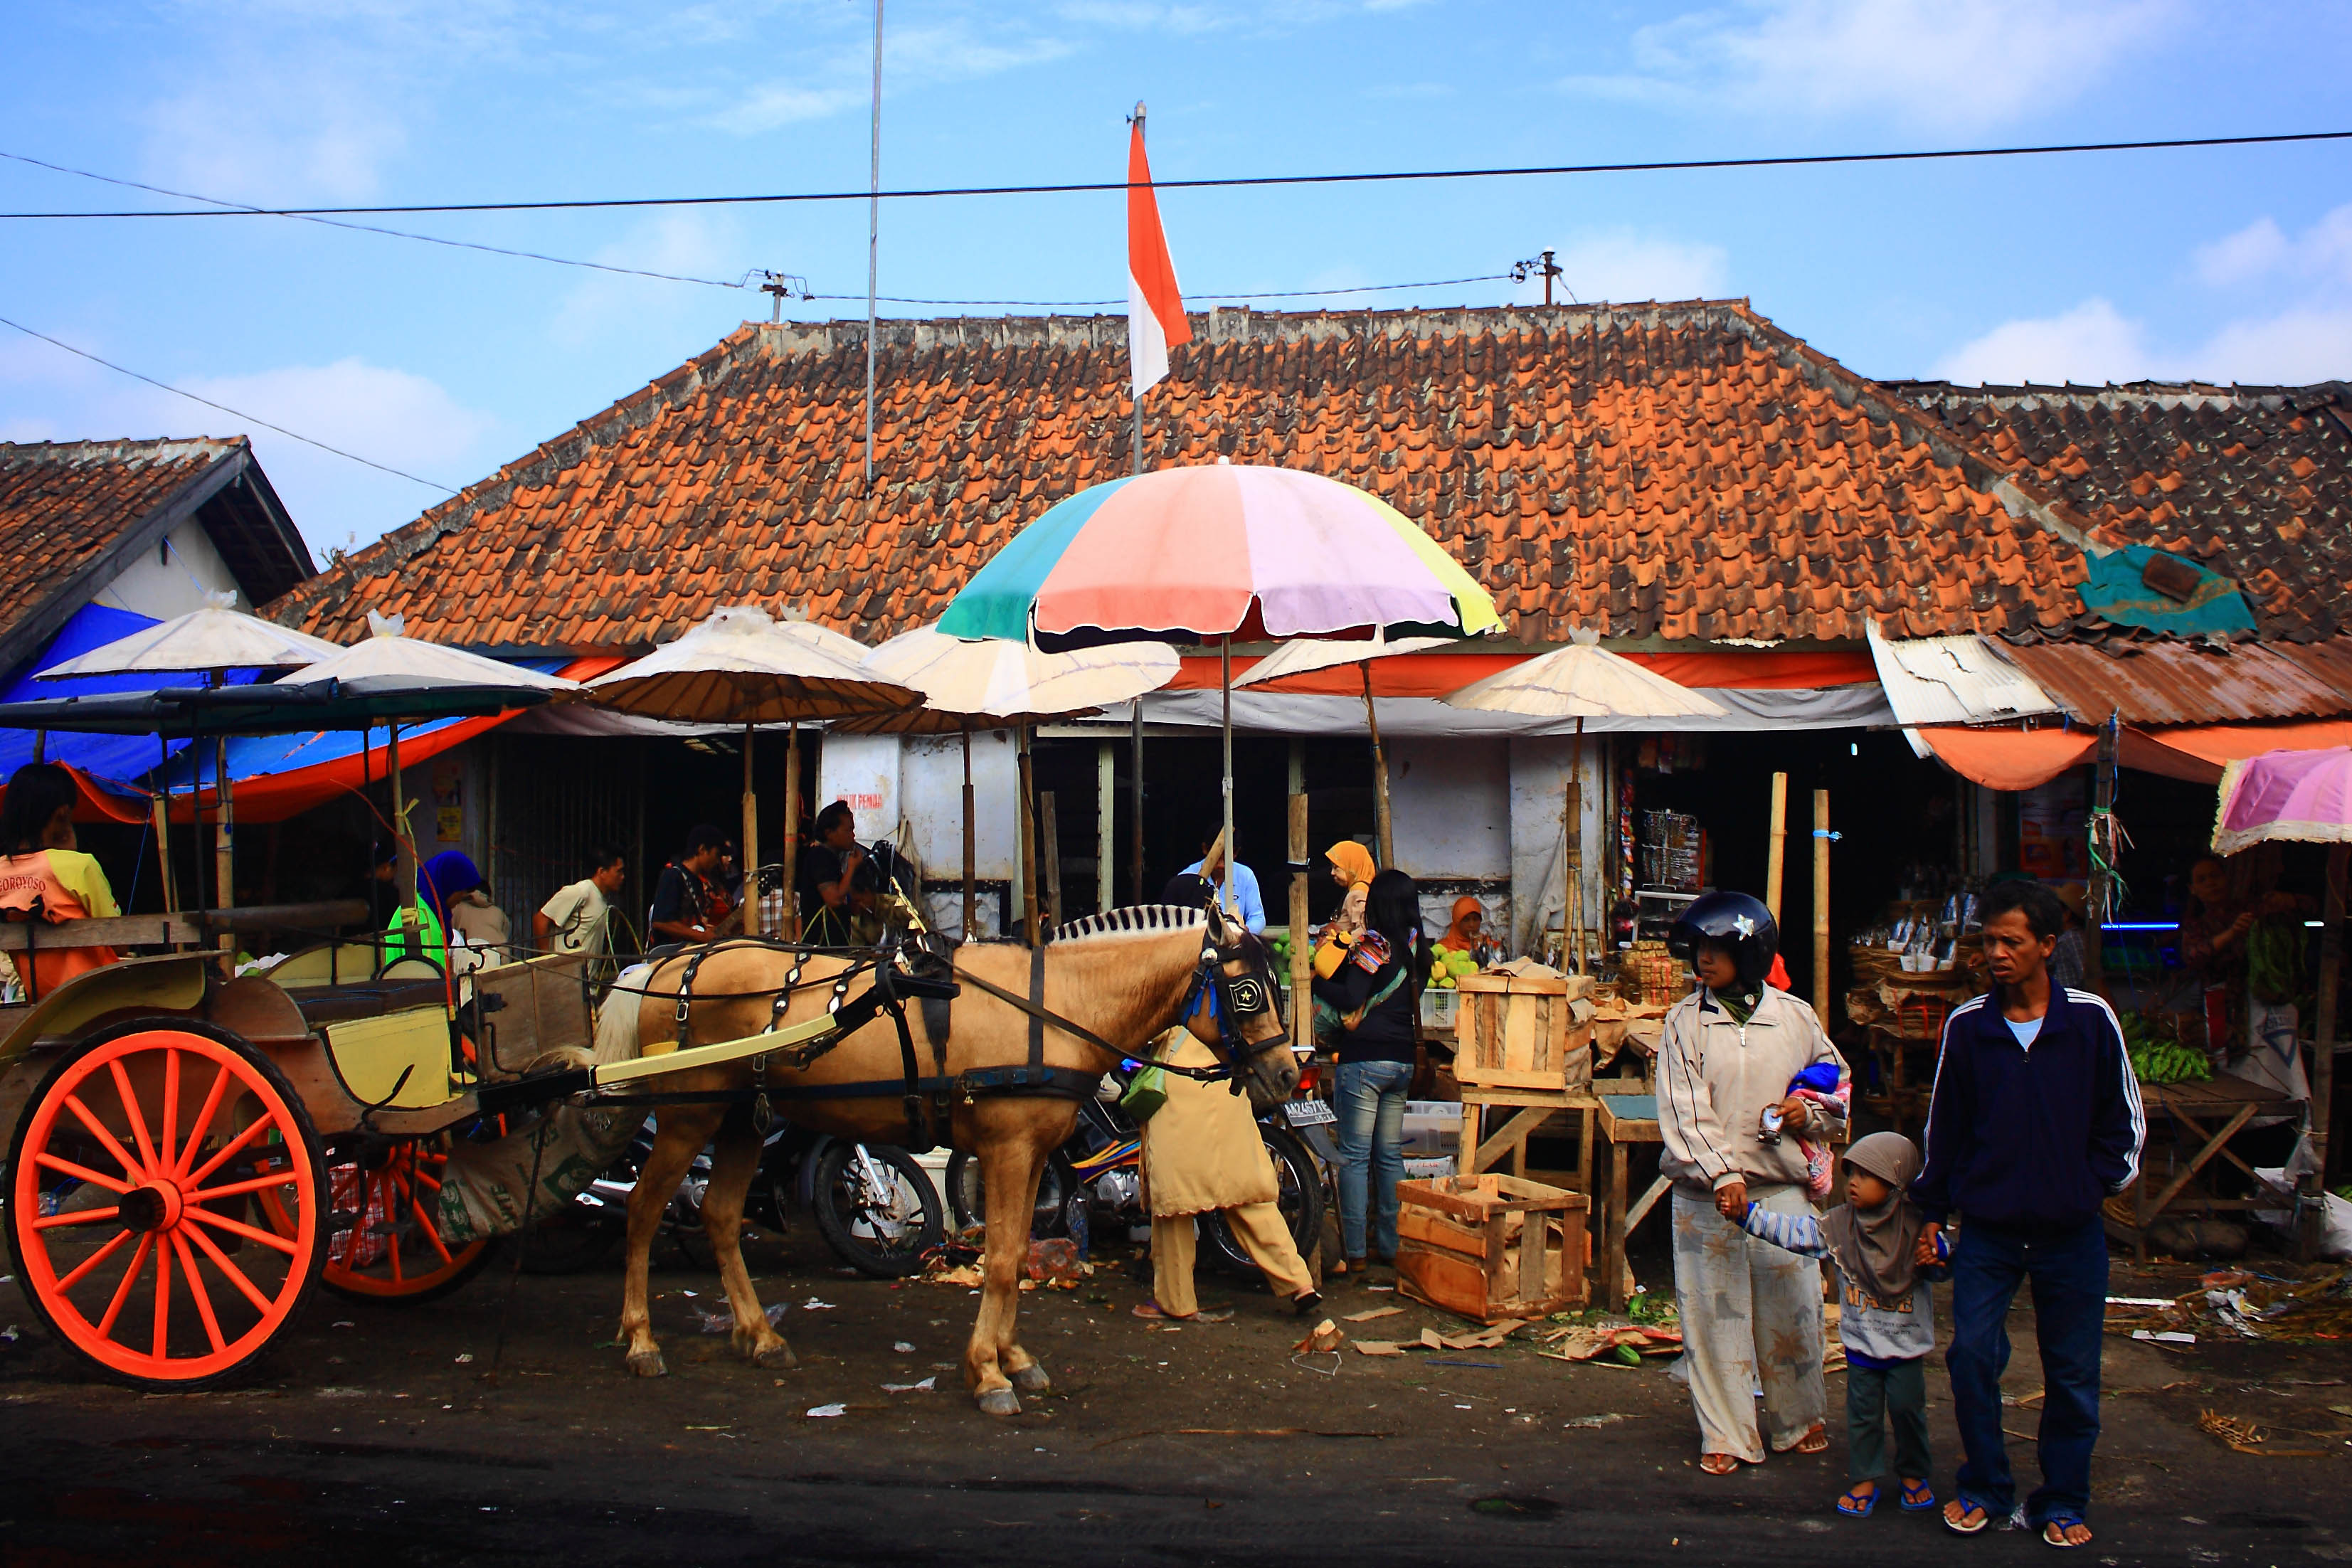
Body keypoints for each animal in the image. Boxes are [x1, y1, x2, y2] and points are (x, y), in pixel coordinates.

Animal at [606, 902, 1298, 1419]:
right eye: (1246, 992)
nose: (1290, 1075)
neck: (1058, 1006)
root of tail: (665, 963)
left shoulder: (1033, 1152)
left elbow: (1015, 1254)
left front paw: (1013, 1358)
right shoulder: (1007, 1148)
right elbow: (999, 1260)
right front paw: (988, 1373)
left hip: (740, 1119)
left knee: (722, 1216)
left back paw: (759, 1335)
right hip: (688, 1115)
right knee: (641, 1209)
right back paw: (640, 1339)